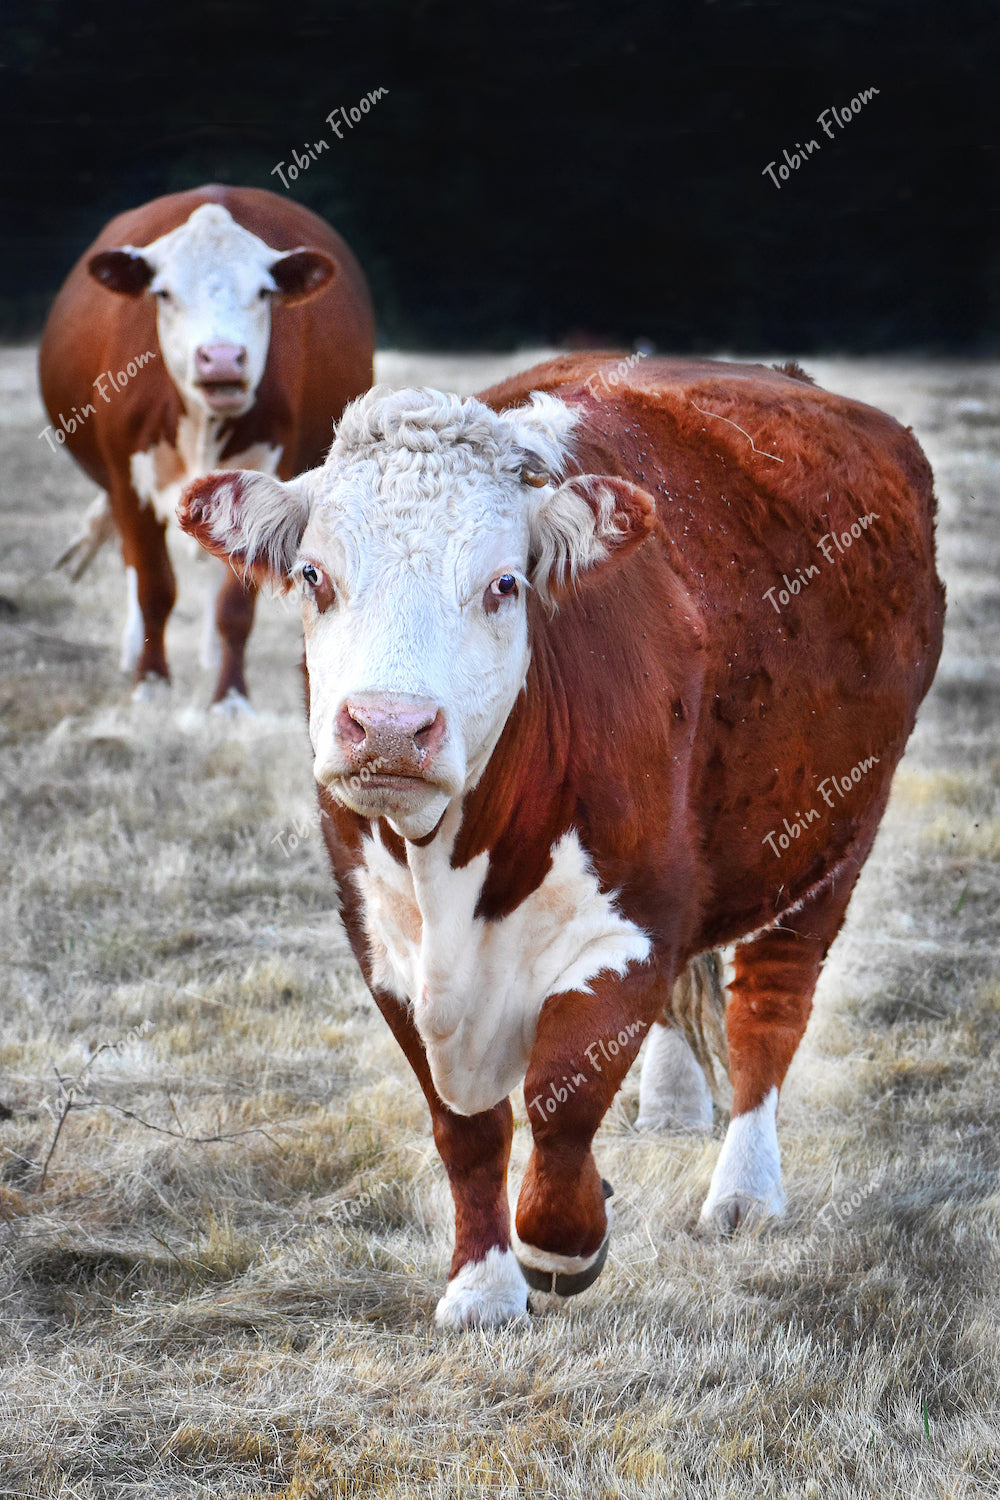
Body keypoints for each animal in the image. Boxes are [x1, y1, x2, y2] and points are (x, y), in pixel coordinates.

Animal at [37, 180, 374, 702]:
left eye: (263, 291)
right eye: (163, 292)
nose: (221, 358)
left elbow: (235, 605)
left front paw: (230, 696)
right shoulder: (127, 482)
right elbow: (153, 587)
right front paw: (152, 683)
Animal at [176, 351, 941, 1326]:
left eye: (505, 584)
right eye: (314, 575)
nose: (388, 727)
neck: (455, 872)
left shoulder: (633, 926)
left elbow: (562, 1095)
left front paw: (563, 1242)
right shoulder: (381, 943)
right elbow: (464, 1127)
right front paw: (481, 1287)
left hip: (834, 838)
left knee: (769, 1007)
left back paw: (746, 1189)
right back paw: (673, 1106)